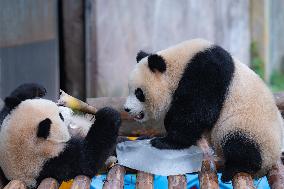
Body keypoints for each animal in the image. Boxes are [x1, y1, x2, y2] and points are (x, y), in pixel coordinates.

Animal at [124, 38, 284, 182]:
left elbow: (197, 112)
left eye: (139, 93)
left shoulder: (206, 72)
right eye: (130, 89)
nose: (126, 109)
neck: (179, 64)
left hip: (251, 128)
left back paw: (235, 169)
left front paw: (165, 141)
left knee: (240, 144)